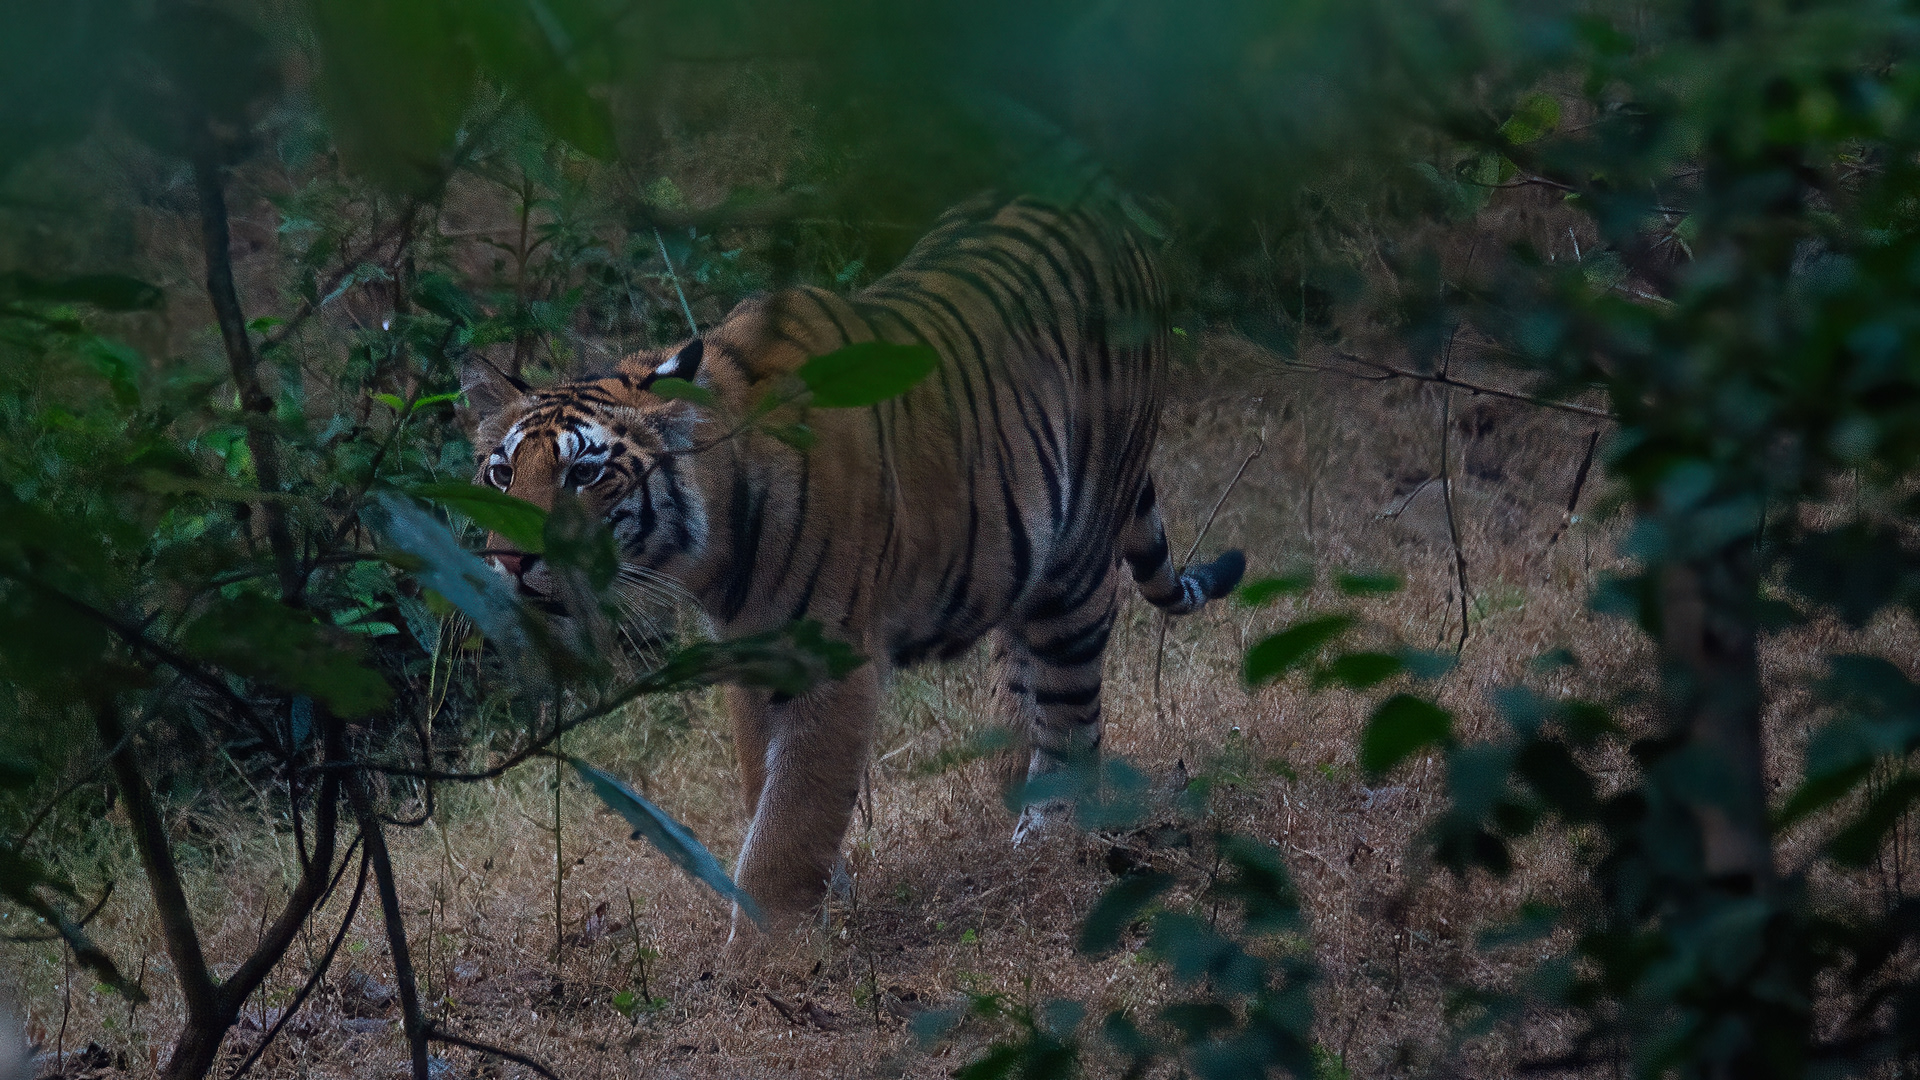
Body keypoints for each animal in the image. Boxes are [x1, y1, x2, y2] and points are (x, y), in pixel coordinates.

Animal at [464, 195, 1246, 934]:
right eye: (501, 474)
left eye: (585, 474)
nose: (508, 559)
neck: (715, 547)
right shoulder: (754, 656)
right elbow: (762, 784)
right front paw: (823, 899)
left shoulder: (828, 660)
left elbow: (792, 815)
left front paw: (770, 953)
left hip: (1076, 564)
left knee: (1070, 706)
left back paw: (1049, 839)